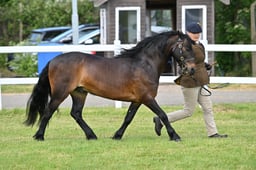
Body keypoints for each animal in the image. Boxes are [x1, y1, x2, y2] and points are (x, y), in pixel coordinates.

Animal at [24, 30, 194, 141]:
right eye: (186, 48)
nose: (192, 69)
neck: (145, 64)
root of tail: (53, 61)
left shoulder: (138, 100)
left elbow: (128, 118)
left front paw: (117, 135)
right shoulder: (147, 98)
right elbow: (163, 114)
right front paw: (174, 136)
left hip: (79, 93)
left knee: (76, 113)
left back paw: (91, 135)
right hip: (61, 93)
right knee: (48, 111)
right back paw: (39, 136)